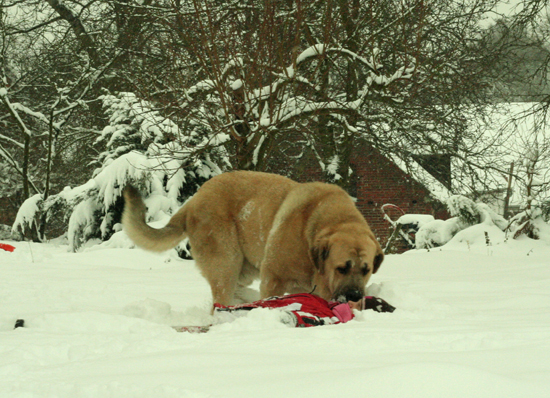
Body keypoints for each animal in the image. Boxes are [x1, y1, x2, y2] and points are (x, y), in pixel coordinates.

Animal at [123, 170, 386, 304]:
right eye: (342, 268)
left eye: (366, 270)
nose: (354, 296)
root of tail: (192, 202)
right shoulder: (273, 279)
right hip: (226, 262)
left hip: (242, 267)